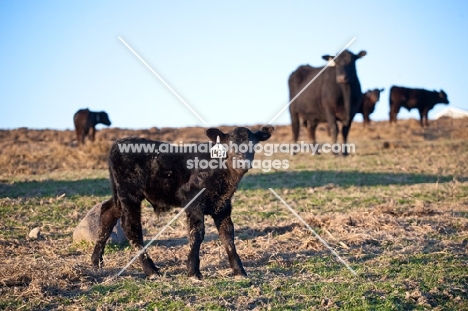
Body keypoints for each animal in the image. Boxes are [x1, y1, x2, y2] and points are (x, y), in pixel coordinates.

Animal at [90, 127, 274, 280]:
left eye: (253, 145)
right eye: (229, 145)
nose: (242, 163)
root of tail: (119, 143)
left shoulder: (223, 205)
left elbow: (227, 235)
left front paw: (239, 271)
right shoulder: (193, 203)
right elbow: (197, 234)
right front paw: (193, 272)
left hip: (121, 197)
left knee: (107, 212)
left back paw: (96, 262)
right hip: (129, 194)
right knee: (131, 227)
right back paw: (151, 270)